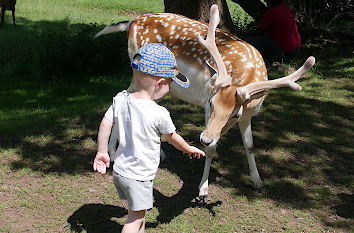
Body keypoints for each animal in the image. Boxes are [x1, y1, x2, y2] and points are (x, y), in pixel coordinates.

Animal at [94, 5, 316, 202]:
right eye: (210, 103)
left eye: (235, 114)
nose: (205, 138)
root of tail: (133, 21)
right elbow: (211, 151)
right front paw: (203, 192)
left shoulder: (248, 114)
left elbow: (250, 145)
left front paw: (257, 182)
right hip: (139, 72)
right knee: (124, 96)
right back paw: (112, 154)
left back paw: (156, 153)